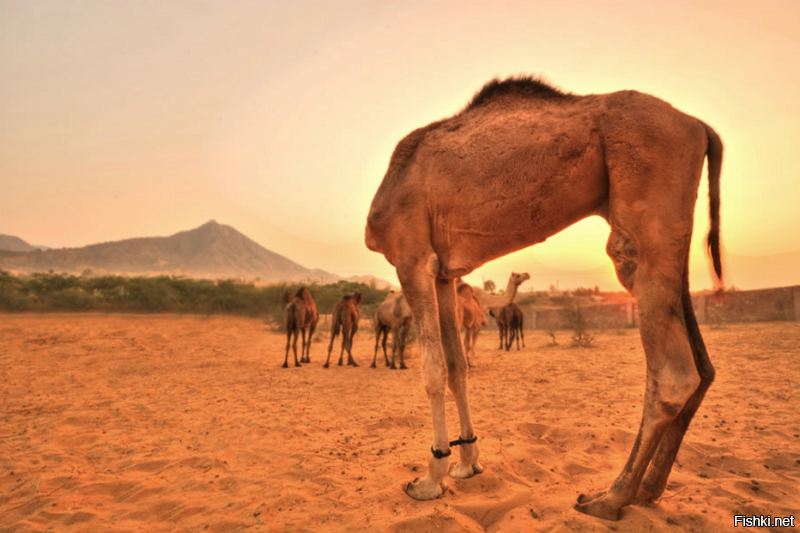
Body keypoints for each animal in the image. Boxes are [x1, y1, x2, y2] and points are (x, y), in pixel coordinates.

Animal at [368, 76, 724, 520]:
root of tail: (699, 127)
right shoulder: (446, 273)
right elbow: (457, 367)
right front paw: (467, 463)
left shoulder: (412, 258)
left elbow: (432, 370)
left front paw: (430, 479)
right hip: (676, 234)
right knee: (703, 366)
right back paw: (648, 490)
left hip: (644, 204)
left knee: (674, 372)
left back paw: (609, 497)